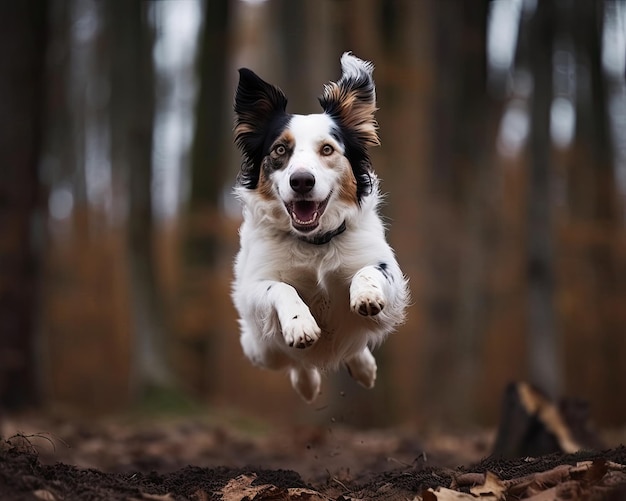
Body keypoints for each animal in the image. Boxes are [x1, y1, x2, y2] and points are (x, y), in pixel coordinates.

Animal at [229, 51, 410, 402]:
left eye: (327, 149)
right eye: (280, 150)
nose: (301, 181)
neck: (313, 242)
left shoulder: (386, 271)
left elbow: (370, 271)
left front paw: (366, 294)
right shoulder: (255, 287)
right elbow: (281, 288)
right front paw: (300, 325)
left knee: (351, 346)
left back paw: (363, 367)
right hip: (260, 349)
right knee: (296, 362)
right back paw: (307, 382)